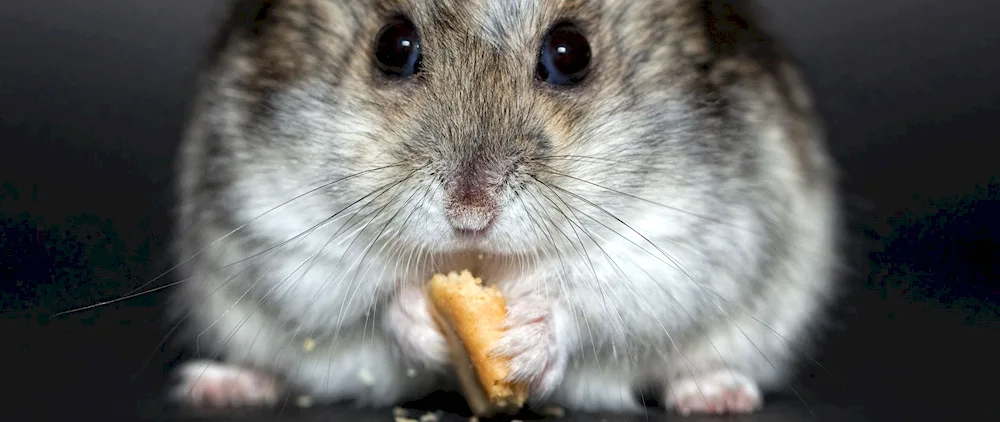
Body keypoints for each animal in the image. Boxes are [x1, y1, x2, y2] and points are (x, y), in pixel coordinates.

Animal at [168, 0, 840, 416]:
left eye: (570, 53)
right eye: (393, 46)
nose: (471, 214)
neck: (484, 260)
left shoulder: (687, 236)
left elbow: (596, 302)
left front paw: (523, 341)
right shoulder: (278, 223)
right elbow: (366, 301)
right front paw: (420, 315)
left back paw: (716, 393)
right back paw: (219, 385)